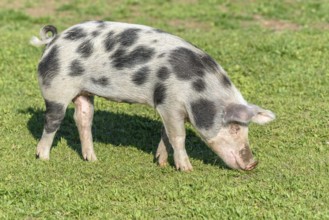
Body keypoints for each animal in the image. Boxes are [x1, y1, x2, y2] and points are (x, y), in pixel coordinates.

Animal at [30, 20, 274, 171]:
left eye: (246, 128)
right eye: (234, 128)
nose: (253, 163)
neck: (197, 89)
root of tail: (53, 41)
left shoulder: (167, 108)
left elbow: (166, 135)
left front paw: (161, 162)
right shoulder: (170, 103)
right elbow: (178, 136)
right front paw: (186, 169)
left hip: (84, 93)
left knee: (83, 118)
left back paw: (92, 160)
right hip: (56, 90)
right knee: (52, 121)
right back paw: (43, 157)